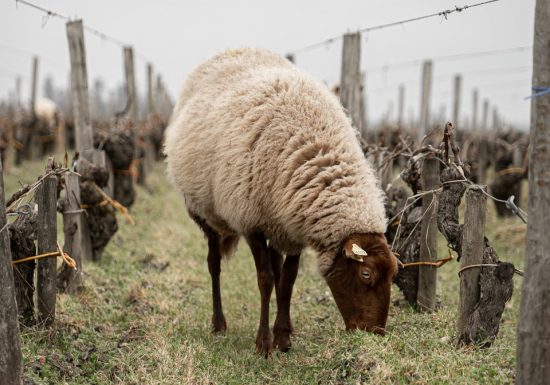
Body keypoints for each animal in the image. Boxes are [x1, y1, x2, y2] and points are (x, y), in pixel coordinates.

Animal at [166, 48, 398, 356]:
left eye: (394, 273)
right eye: (366, 273)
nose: (376, 333)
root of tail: (230, 51)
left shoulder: (293, 224)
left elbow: (287, 280)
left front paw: (284, 338)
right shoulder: (250, 222)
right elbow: (265, 280)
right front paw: (263, 344)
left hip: (275, 221)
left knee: (275, 267)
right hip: (205, 213)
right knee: (214, 263)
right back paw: (218, 324)